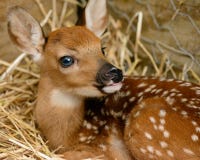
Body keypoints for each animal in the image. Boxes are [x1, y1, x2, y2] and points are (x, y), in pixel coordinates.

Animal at [7, 0, 199, 159]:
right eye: (66, 60)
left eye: (102, 48)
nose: (115, 73)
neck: (68, 134)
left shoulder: (102, 151)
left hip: (147, 123)